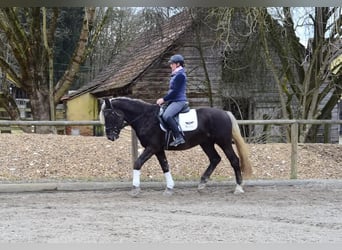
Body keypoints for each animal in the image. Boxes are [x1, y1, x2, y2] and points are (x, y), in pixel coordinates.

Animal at [99, 96, 251, 196]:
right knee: (215, 159)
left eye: (110, 114)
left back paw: (238, 188)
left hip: (224, 142)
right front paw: (169, 188)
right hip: (206, 143)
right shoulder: (158, 149)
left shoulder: (152, 147)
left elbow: (138, 163)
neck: (145, 118)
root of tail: (225, 113)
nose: (110, 137)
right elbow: (165, 166)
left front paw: (135, 188)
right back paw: (202, 183)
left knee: (234, 160)